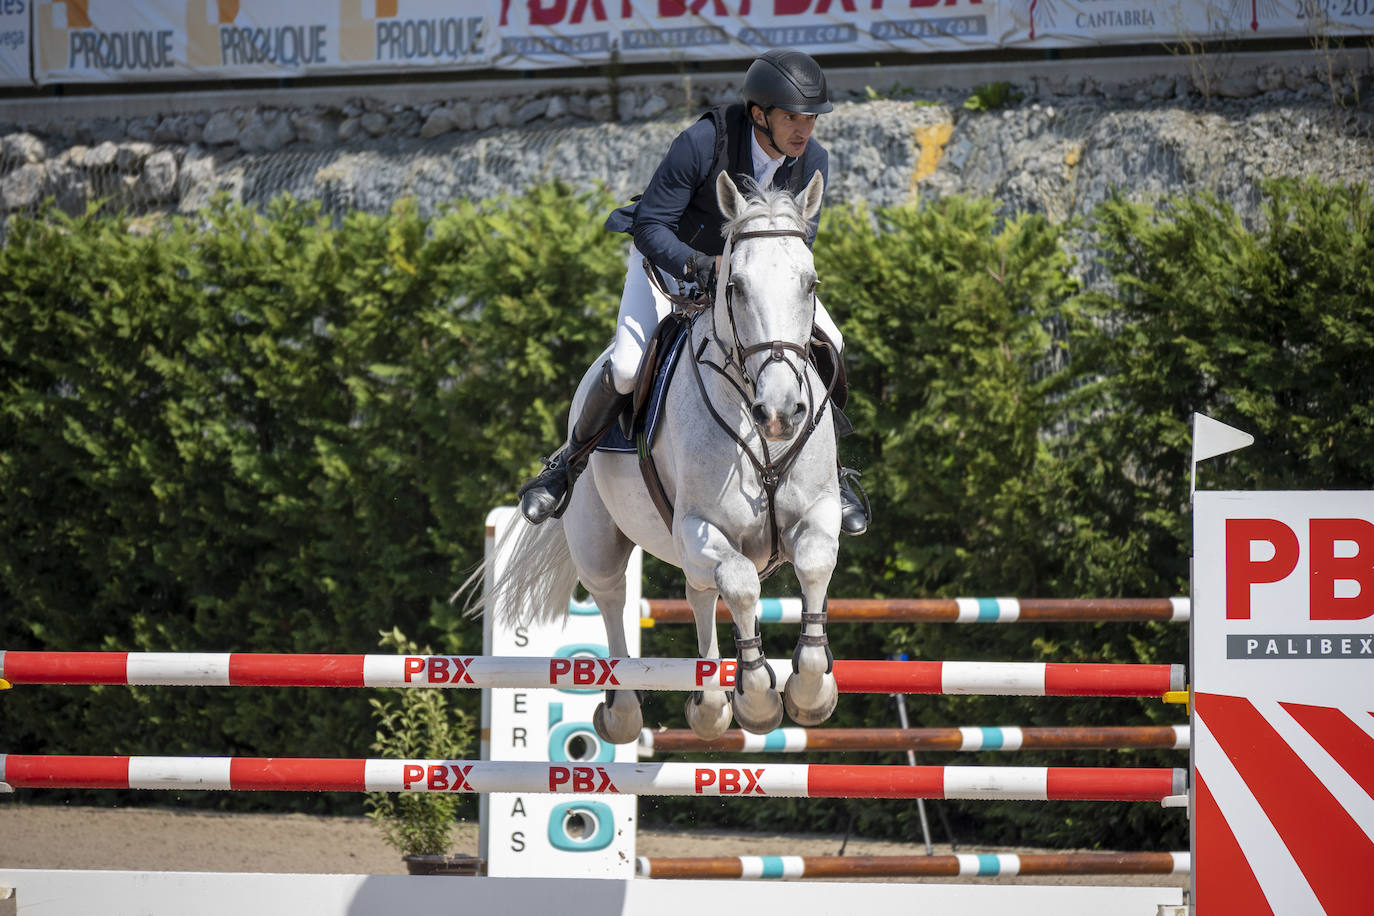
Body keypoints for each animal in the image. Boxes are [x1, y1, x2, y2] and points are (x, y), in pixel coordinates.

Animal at [467, 171, 840, 747]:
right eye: (734, 286)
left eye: (811, 285)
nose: (780, 412)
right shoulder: (697, 525)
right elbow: (742, 583)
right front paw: (757, 697)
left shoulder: (820, 512)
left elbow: (812, 563)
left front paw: (810, 689)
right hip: (600, 539)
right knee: (614, 597)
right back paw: (626, 711)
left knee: (700, 592)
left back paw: (710, 703)